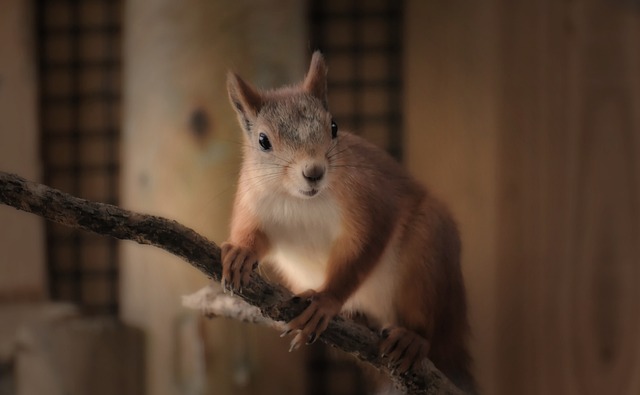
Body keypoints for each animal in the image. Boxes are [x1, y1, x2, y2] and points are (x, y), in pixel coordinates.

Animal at [220, 51, 476, 392]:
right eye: (263, 141)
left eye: (334, 126)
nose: (314, 172)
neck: (301, 201)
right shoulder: (252, 203)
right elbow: (251, 234)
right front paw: (240, 253)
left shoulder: (368, 204)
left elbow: (362, 250)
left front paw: (326, 301)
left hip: (427, 258)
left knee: (426, 322)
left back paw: (412, 339)